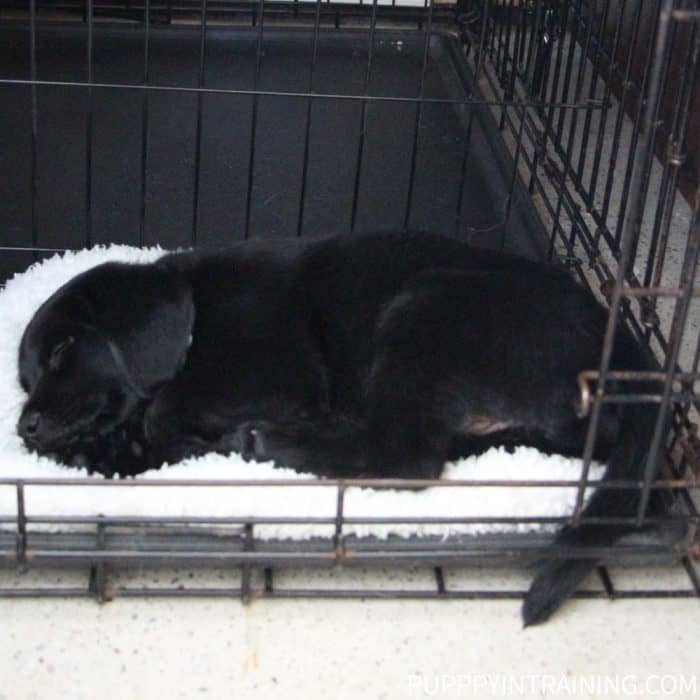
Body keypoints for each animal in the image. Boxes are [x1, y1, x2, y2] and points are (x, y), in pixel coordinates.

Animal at [15, 232, 660, 628]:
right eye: (24, 379)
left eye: (65, 350)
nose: (25, 427)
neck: (199, 317)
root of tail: (626, 348)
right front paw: (98, 454)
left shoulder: (279, 375)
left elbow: (164, 408)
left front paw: (149, 443)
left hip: (423, 308)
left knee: (407, 457)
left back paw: (260, 441)